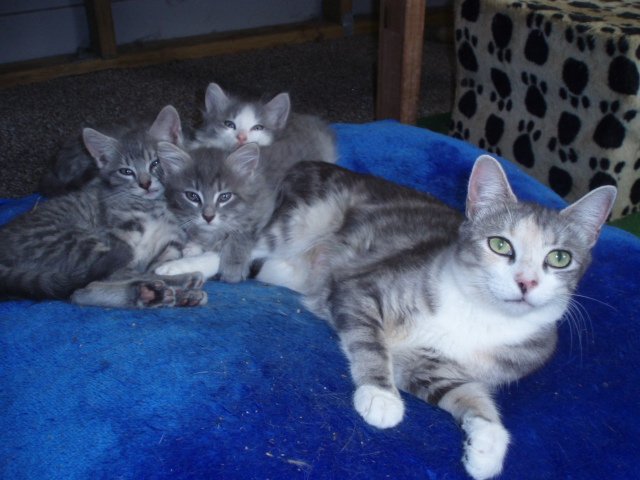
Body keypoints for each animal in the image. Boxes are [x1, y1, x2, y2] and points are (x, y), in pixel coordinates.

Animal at [155, 141, 276, 283]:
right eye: (192, 196)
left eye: (224, 197)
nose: (208, 216)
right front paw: (195, 244)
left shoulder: (267, 207)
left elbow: (241, 232)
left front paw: (233, 265)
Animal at [155, 155, 616, 479]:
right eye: (500, 244)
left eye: (559, 258)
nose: (526, 282)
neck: (479, 314)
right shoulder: (362, 287)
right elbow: (369, 340)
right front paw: (380, 397)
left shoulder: (434, 365)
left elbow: (465, 394)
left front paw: (486, 448)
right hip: (305, 219)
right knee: (241, 248)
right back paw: (178, 266)